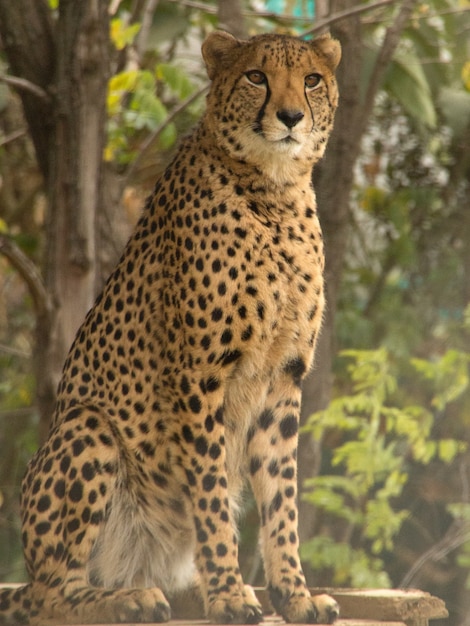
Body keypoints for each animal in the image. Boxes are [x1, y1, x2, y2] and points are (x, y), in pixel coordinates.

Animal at [1, 28, 344, 620]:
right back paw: (128, 599)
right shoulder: (199, 375)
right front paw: (228, 593)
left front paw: (294, 595)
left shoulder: (284, 378)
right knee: (53, 594)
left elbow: (282, 500)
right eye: (256, 76)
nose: (291, 116)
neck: (274, 192)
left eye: (312, 80)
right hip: (88, 428)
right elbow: (209, 491)